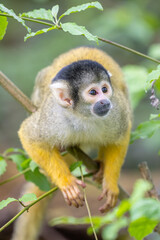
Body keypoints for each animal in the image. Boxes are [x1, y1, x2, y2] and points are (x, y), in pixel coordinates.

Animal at [11, 47, 131, 240]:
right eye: (93, 93)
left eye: (105, 89)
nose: (105, 101)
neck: (83, 115)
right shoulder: (52, 115)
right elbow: (29, 136)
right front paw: (67, 183)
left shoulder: (117, 109)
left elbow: (121, 136)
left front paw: (111, 183)